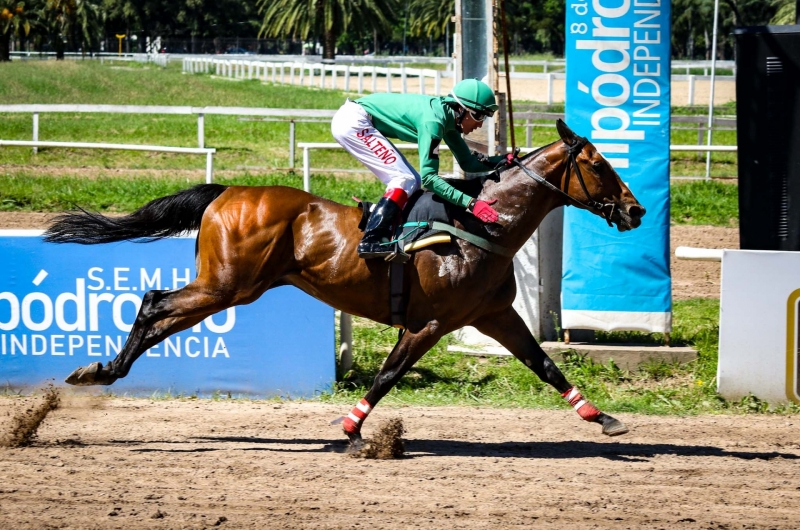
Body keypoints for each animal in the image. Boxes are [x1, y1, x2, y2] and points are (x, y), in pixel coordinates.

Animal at [42, 118, 644, 442]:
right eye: (599, 164)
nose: (635, 210)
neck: (478, 225)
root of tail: (226, 190)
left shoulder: (493, 315)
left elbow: (545, 365)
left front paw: (604, 418)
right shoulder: (430, 322)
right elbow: (388, 374)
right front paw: (353, 429)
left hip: (232, 288)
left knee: (160, 311)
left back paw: (101, 370)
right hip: (227, 286)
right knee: (153, 303)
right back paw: (100, 371)